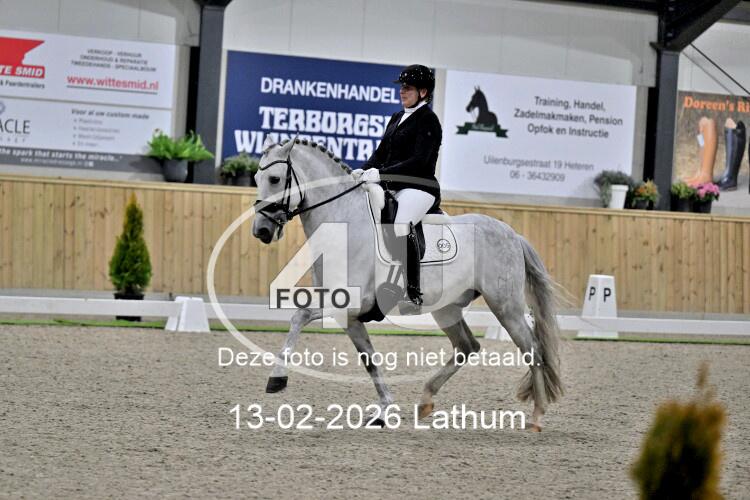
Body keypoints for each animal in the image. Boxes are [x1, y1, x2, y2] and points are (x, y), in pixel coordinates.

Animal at [251, 136, 563, 431]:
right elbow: (369, 360)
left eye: (275, 179)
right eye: (255, 178)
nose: (261, 231)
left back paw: (537, 416)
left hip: (505, 306)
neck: (343, 221)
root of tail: (512, 234)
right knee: (467, 347)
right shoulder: (349, 316)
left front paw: (276, 379)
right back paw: (425, 400)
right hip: (447, 309)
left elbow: (300, 315)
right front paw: (383, 411)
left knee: (533, 350)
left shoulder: (348, 303)